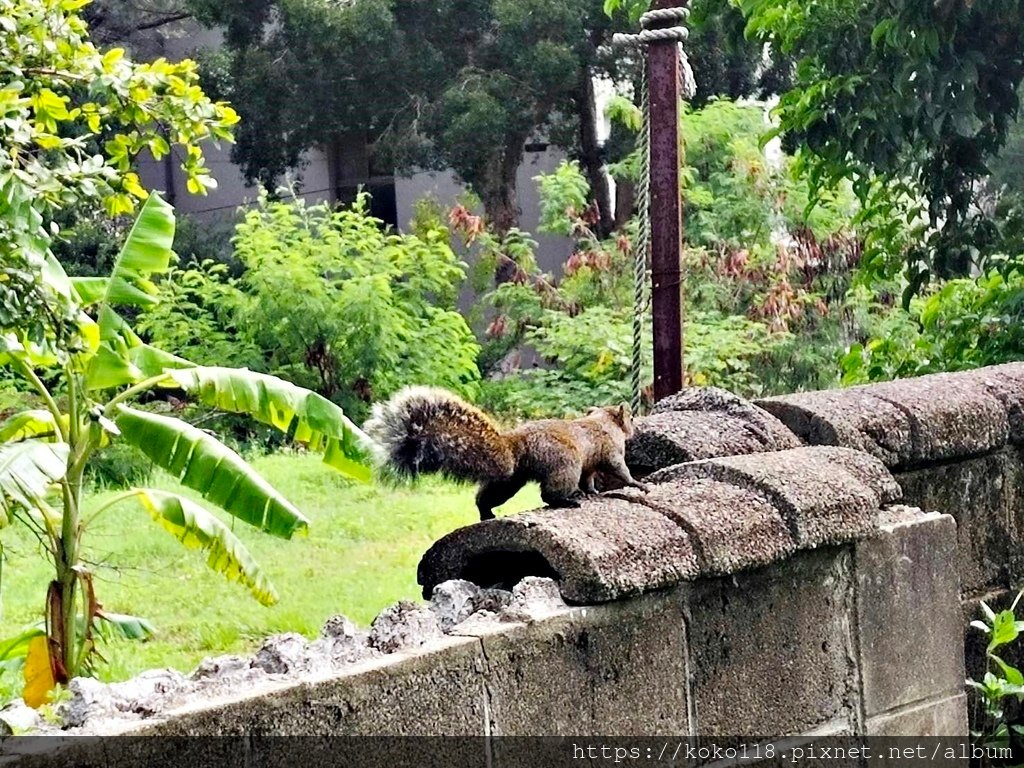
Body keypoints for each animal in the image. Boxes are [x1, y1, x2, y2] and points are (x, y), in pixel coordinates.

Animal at [366, 385, 647, 524]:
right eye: (630, 417)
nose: (634, 426)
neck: (603, 422)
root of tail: (515, 445)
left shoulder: (590, 465)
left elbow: (589, 478)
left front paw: (592, 491)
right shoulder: (610, 452)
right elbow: (619, 469)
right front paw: (637, 484)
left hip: (511, 480)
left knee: (488, 497)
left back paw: (486, 514)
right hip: (564, 463)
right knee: (549, 494)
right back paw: (567, 500)